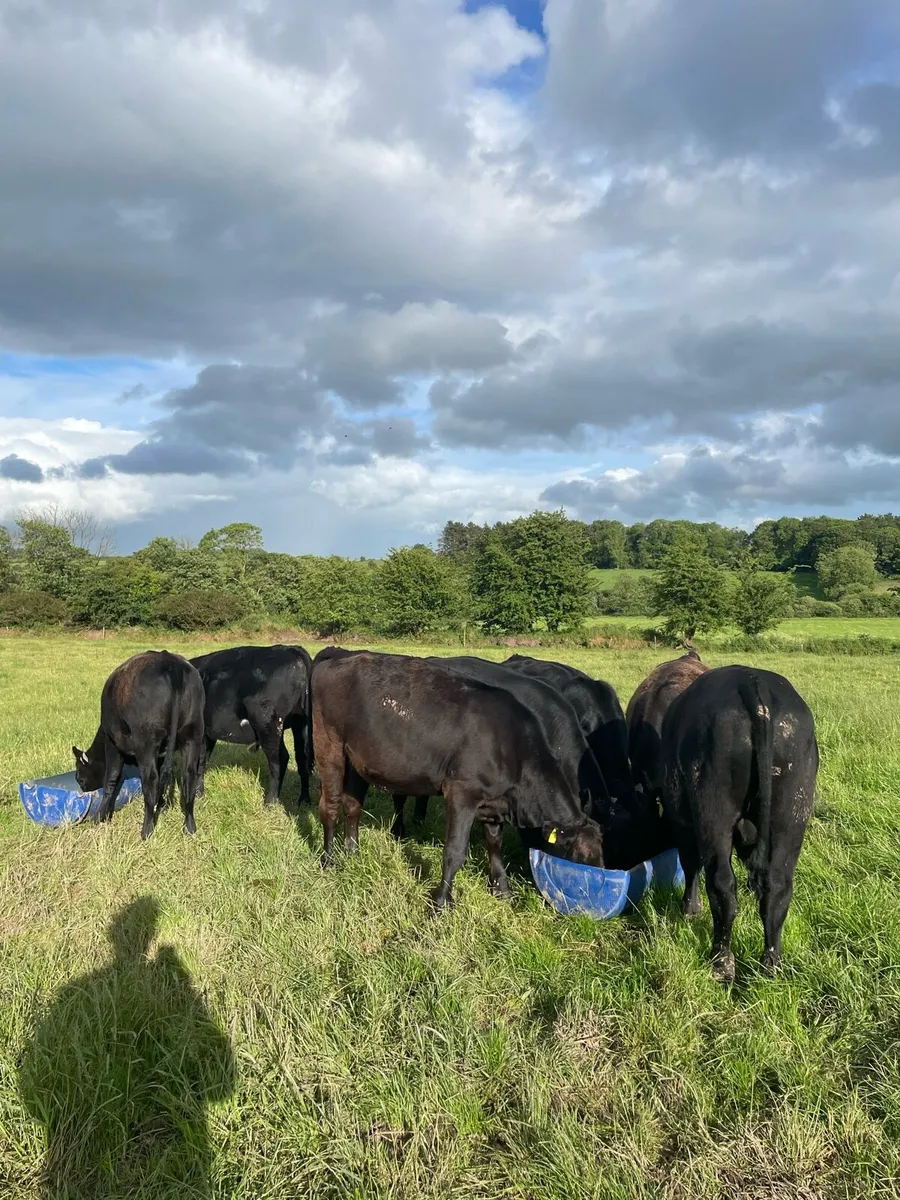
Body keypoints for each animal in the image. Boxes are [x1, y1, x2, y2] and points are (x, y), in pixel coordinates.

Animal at [72, 650, 206, 840]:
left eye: (80, 776)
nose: (82, 788)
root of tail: (169, 660)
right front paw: (161, 803)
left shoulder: (112, 742)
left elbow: (111, 778)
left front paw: (101, 816)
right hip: (193, 733)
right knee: (188, 776)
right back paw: (189, 827)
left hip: (146, 741)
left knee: (151, 778)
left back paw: (146, 830)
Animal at [190, 644, 312, 806]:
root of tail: (292, 649)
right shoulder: (208, 734)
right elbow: (203, 760)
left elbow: (199, 761)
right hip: (299, 725)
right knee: (302, 759)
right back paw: (303, 800)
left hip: (267, 724)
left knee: (279, 760)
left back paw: (271, 802)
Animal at [311, 650, 605, 908]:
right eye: (581, 858)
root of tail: (339, 659)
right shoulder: (462, 793)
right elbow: (454, 851)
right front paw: (442, 901)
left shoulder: (494, 804)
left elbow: (494, 844)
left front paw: (502, 889)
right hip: (328, 745)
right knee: (330, 807)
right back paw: (329, 861)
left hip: (356, 759)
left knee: (353, 807)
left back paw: (353, 854)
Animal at [660, 665, 818, 982]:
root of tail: (752, 682)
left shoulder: (683, 820)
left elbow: (690, 864)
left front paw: (690, 910)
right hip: (792, 814)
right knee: (778, 887)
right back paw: (771, 964)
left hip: (714, 812)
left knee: (722, 884)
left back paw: (721, 961)